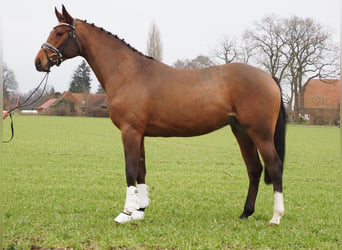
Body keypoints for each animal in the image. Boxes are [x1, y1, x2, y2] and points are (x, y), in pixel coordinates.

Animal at [34, 5, 286, 225]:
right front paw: (139, 211)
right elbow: (141, 170)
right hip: (241, 131)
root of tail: (268, 76)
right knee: (254, 169)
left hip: (260, 133)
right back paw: (245, 213)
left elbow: (130, 171)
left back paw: (275, 217)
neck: (129, 73)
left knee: (274, 165)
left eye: (59, 32)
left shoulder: (130, 132)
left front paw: (125, 213)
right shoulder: (140, 134)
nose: (39, 62)